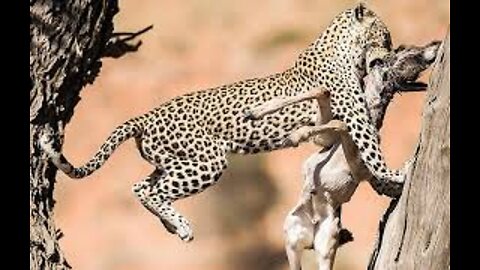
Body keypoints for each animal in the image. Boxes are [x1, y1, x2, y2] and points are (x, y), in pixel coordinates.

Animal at [40, 3, 398, 242]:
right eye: (385, 35)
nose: (392, 50)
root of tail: (146, 115)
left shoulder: (325, 126)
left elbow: (330, 132)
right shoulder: (354, 114)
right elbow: (371, 147)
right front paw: (395, 175)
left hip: (171, 161)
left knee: (141, 186)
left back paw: (173, 225)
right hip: (207, 160)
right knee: (153, 191)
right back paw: (182, 226)